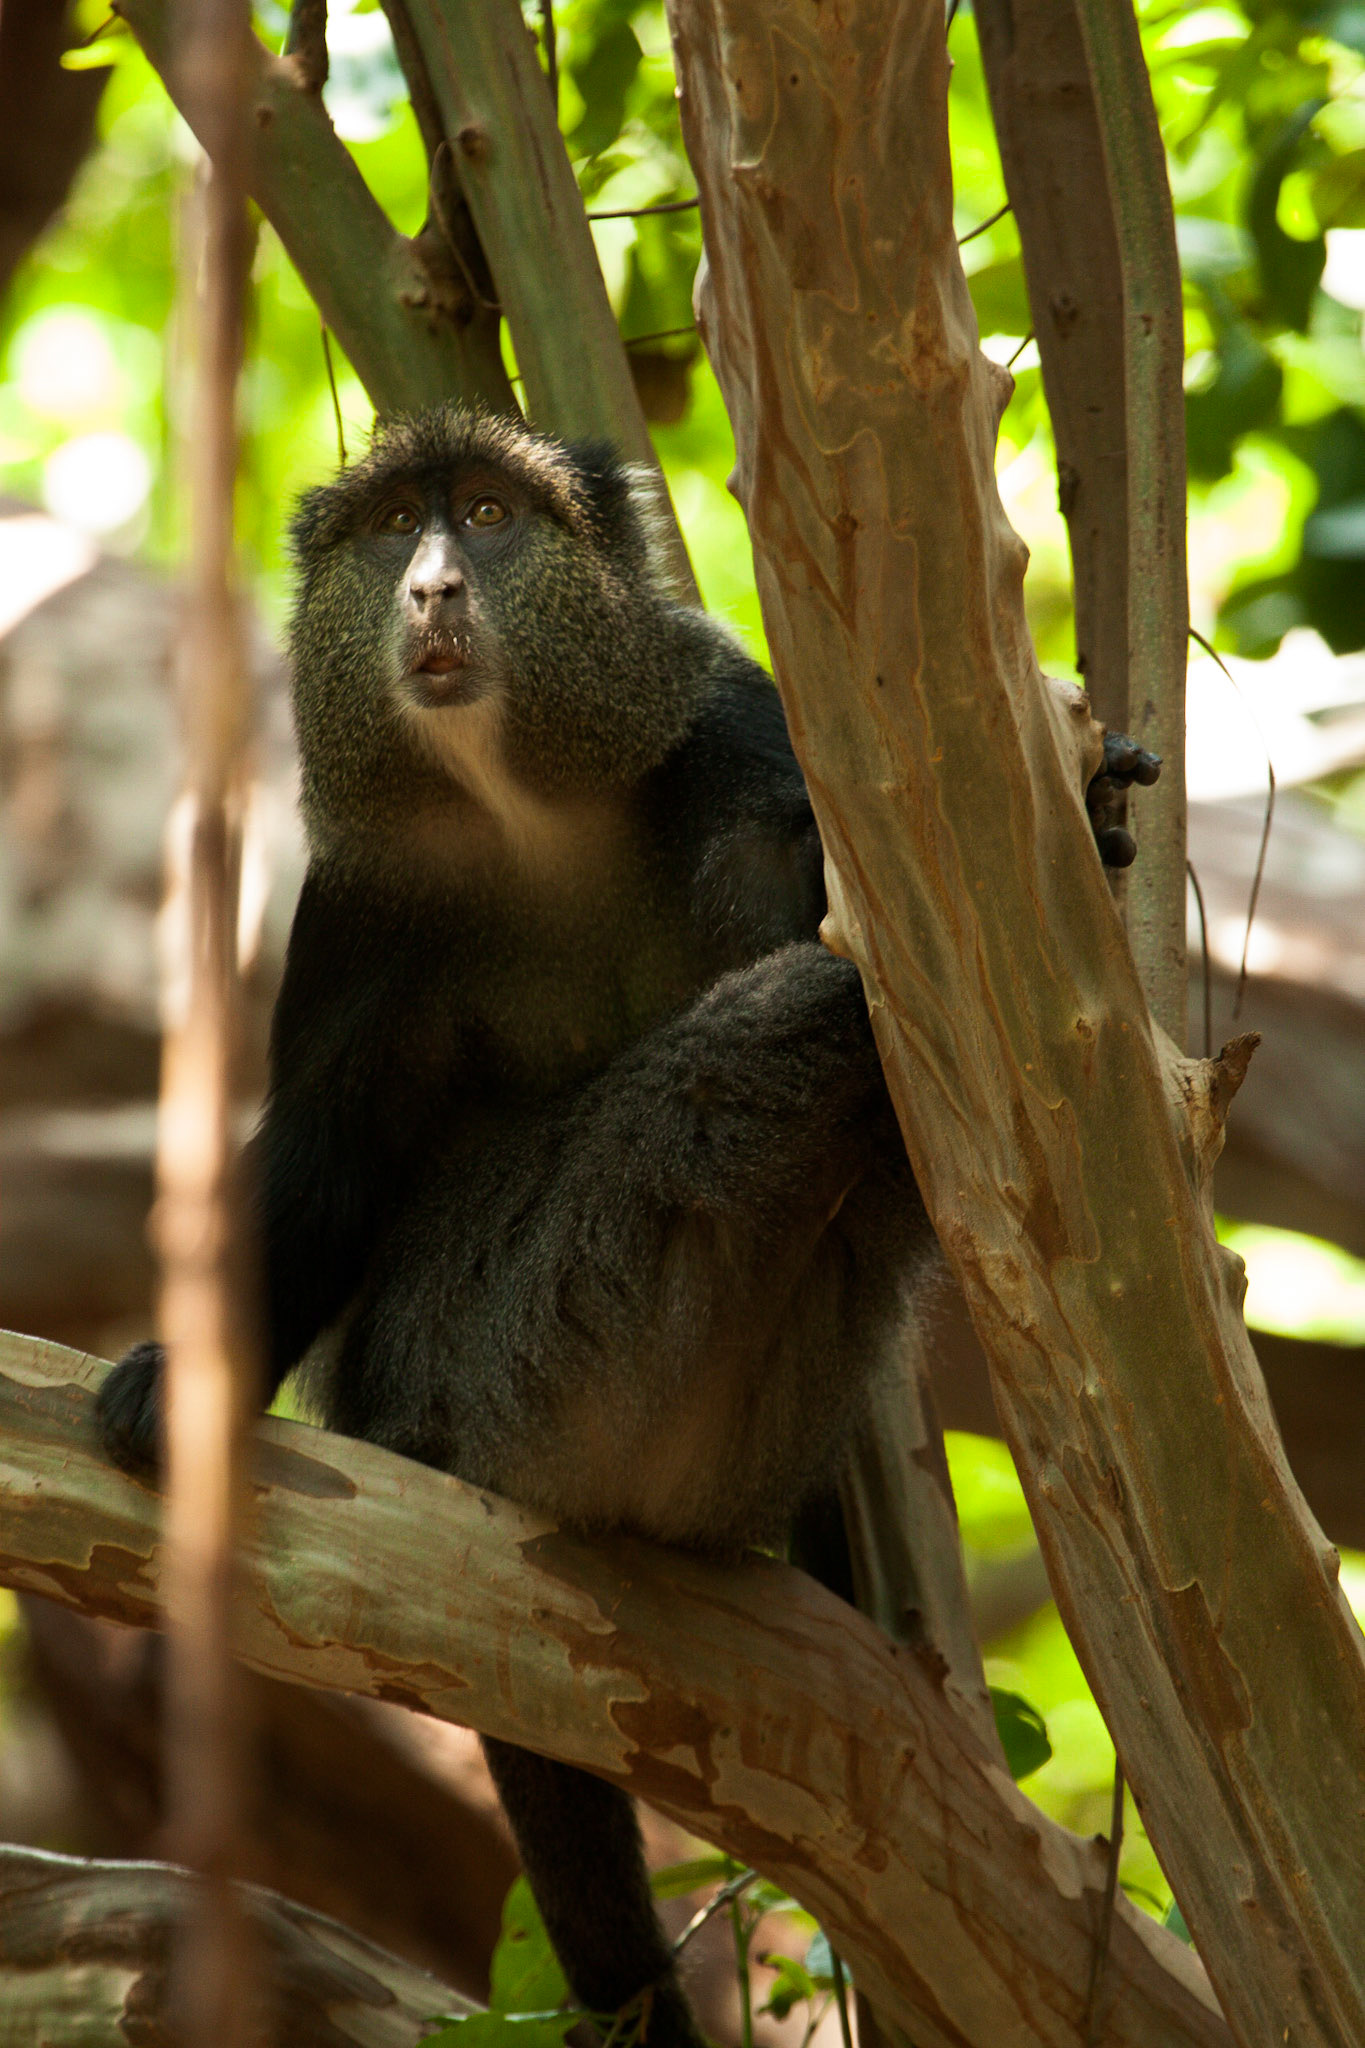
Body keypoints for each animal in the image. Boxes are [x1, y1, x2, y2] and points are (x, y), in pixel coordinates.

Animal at [96, 403, 1159, 2047]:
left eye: (486, 514)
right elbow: (333, 1152)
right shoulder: (358, 904)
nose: (434, 588)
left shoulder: (739, 735)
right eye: (394, 527)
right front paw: (181, 1377)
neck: (528, 804)